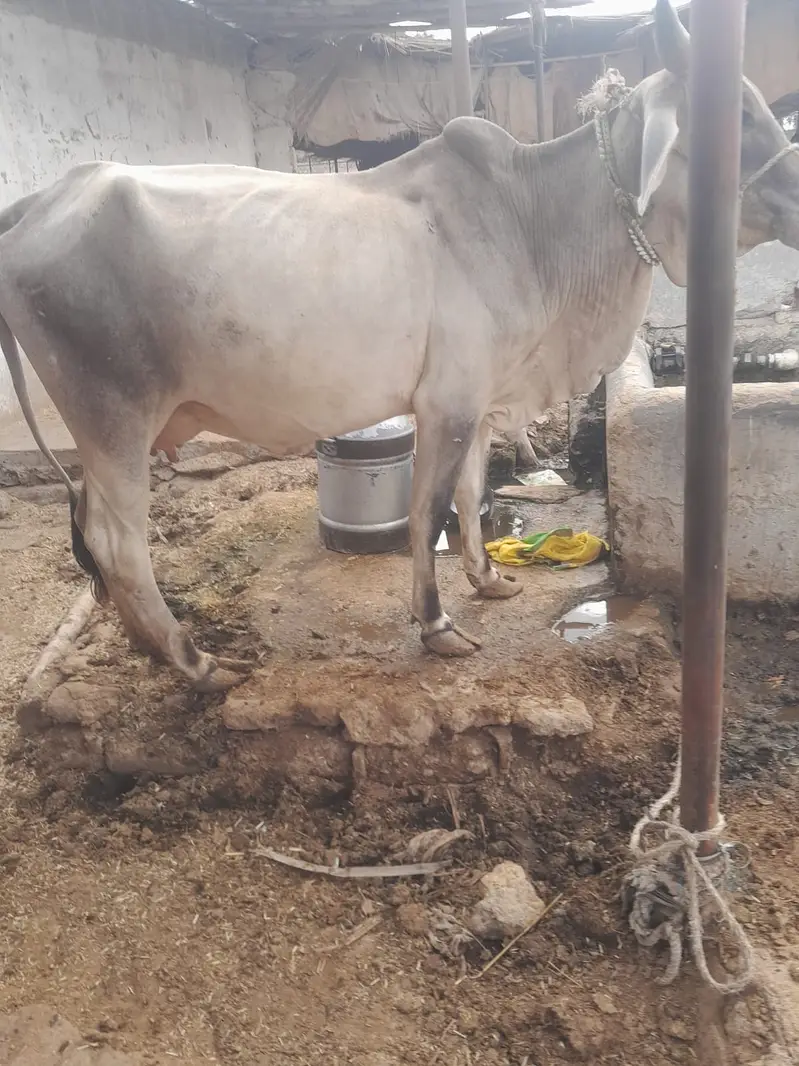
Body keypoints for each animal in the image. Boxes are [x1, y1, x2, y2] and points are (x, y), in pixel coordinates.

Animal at [0, 0, 797, 691]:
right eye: (737, 115)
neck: (535, 221)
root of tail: (41, 202)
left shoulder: (480, 398)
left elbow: (473, 493)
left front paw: (488, 579)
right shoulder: (445, 402)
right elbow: (429, 507)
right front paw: (437, 624)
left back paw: (151, 647)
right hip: (112, 416)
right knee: (119, 544)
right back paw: (191, 660)